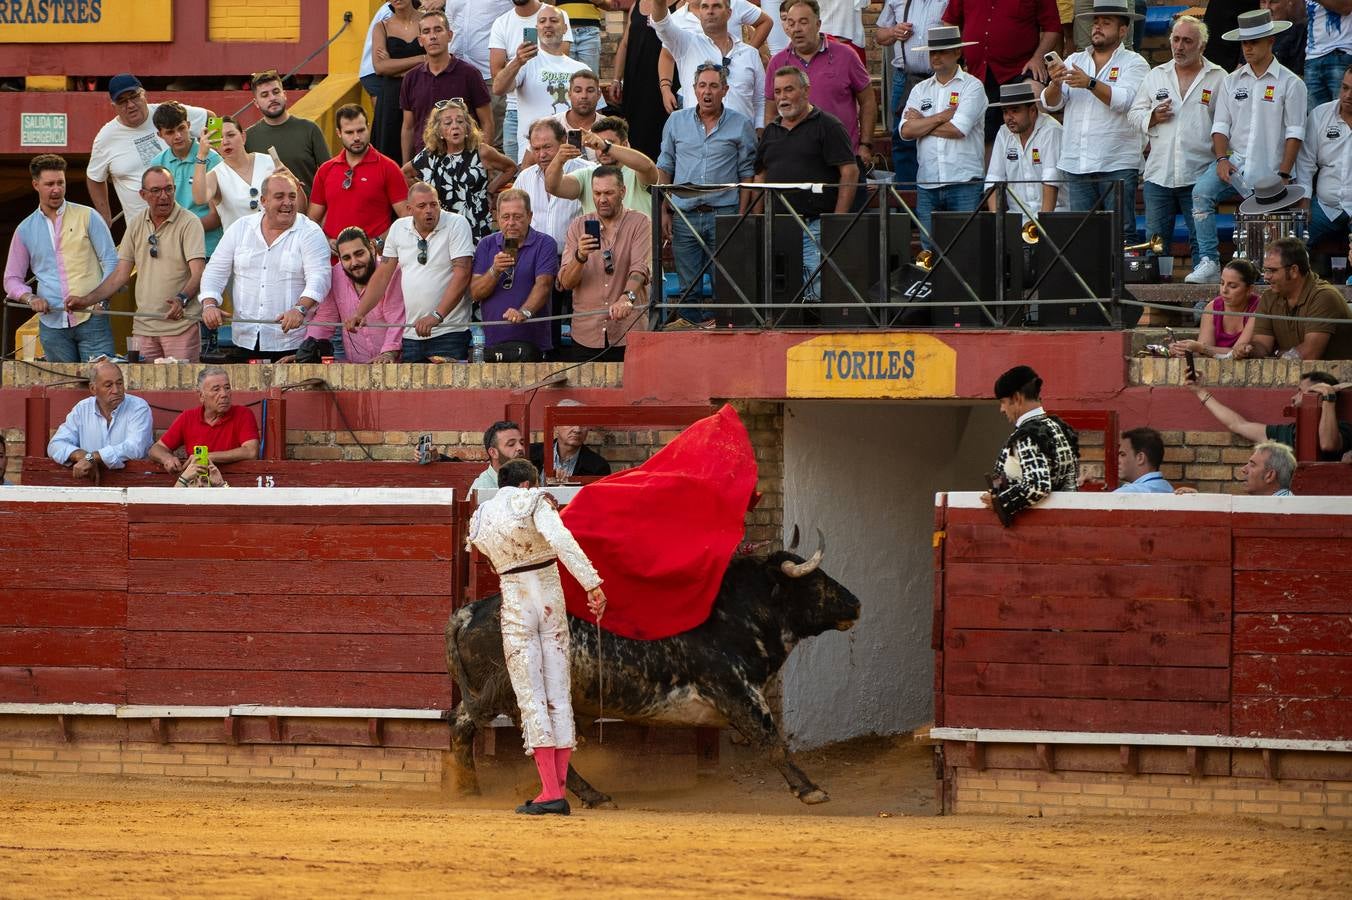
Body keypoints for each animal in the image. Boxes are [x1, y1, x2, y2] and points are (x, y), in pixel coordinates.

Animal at [448, 529, 859, 800]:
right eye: (814, 580)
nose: (855, 603)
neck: (740, 611)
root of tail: (471, 610)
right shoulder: (736, 690)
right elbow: (771, 740)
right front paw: (810, 789)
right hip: (520, 694)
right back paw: (589, 795)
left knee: (461, 724)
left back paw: (469, 788)